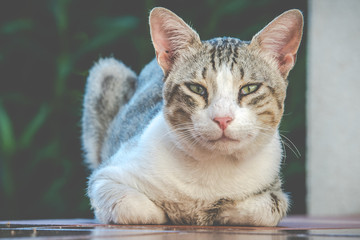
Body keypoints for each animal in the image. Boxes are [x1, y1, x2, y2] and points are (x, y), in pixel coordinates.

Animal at [82, 6, 304, 226]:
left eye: (249, 88)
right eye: (197, 88)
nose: (222, 119)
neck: (214, 167)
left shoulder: (275, 190)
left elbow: (265, 209)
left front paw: (221, 211)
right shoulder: (105, 176)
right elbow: (135, 207)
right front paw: (167, 212)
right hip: (107, 71)